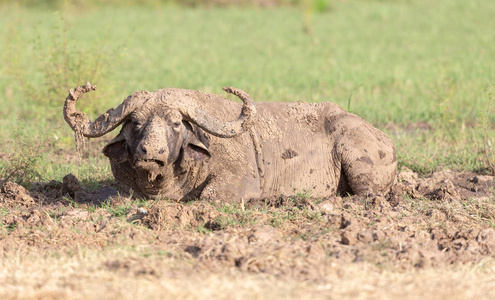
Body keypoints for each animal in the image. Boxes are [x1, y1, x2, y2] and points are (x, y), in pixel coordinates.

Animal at [64, 83, 398, 203]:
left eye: (176, 123)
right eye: (135, 123)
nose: (151, 152)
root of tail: (384, 138)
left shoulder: (239, 182)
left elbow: (209, 196)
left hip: (356, 159)